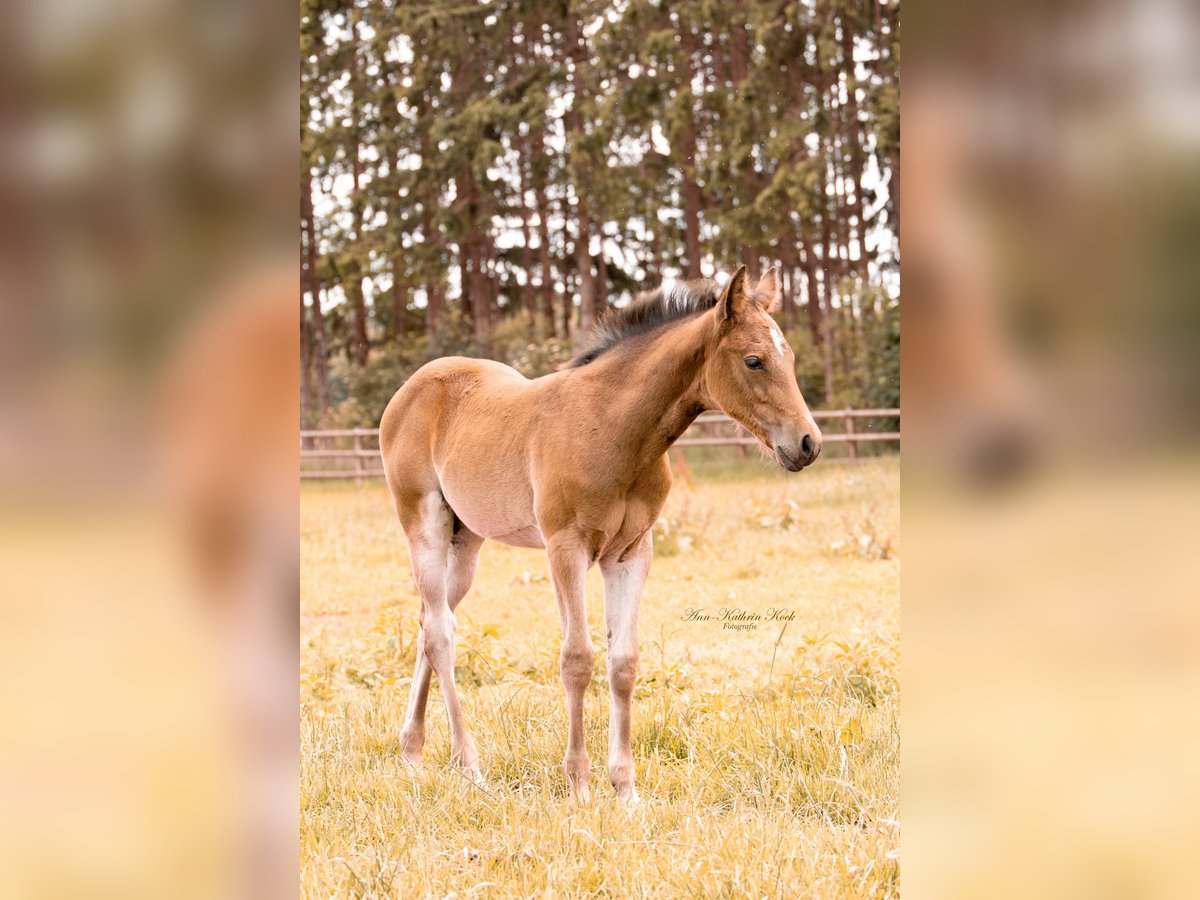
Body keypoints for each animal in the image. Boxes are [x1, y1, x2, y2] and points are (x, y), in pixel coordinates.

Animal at [379, 264, 822, 803]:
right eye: (754, 360)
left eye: (790, 357)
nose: (808, 443)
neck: (612, 427)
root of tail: (412, 386)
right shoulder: (565, 547)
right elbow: (578, 659)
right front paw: (579, 785)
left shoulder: (630, 553)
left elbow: (623, 663)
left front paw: (625, 791)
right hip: (423, 524)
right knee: (441, 634)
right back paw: (468, 765)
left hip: (466, 539)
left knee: (431, 620)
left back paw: (412, 750)